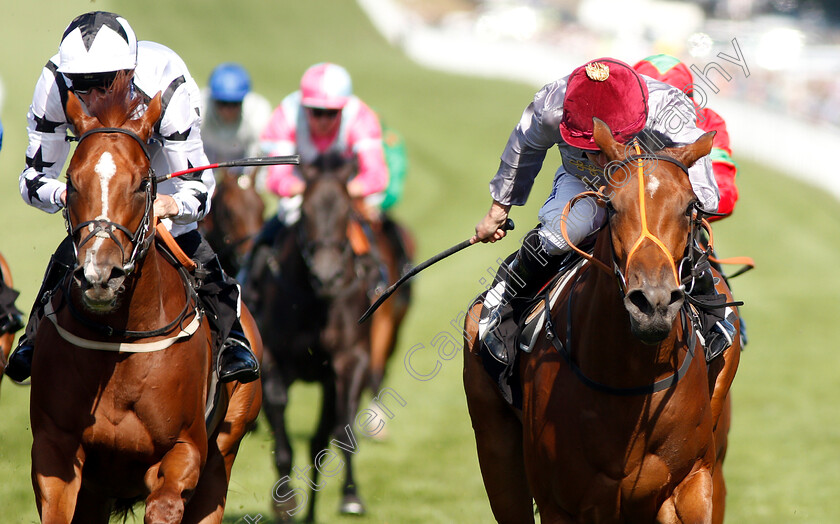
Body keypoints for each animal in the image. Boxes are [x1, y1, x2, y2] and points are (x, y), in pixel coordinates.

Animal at [29, 74, 260, 524]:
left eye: (141, 184)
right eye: (72, 182)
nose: (100, 275)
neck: (121, 342)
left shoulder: (186, 448)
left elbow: (166, 503)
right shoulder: (56, 449)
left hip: (223, 455)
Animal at [246, 154, 384, 520]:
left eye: (346, 210)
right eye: (305, 211)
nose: (327, 276)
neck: (315, 300)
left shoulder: (351, 359)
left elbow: (343, 429)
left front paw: (351, 496)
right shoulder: (272, 358)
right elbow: (278, 411)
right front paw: (284, 499)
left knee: (321, 441)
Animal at [462, 119, 744, 524]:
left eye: (691, 206)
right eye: (611, 205)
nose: (653, 302)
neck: (631, 382)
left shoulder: (692, 484)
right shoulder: (561, 502)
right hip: (495, 445)